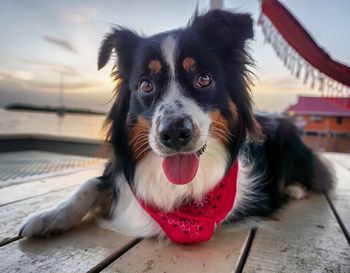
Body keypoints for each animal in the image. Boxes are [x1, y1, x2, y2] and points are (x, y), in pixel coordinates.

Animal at [19, 9, 334, 242]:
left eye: (204, 79)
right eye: (146, 85)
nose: (174, 134)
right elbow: (89, 184)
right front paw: (48, 217)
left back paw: (295, 189)